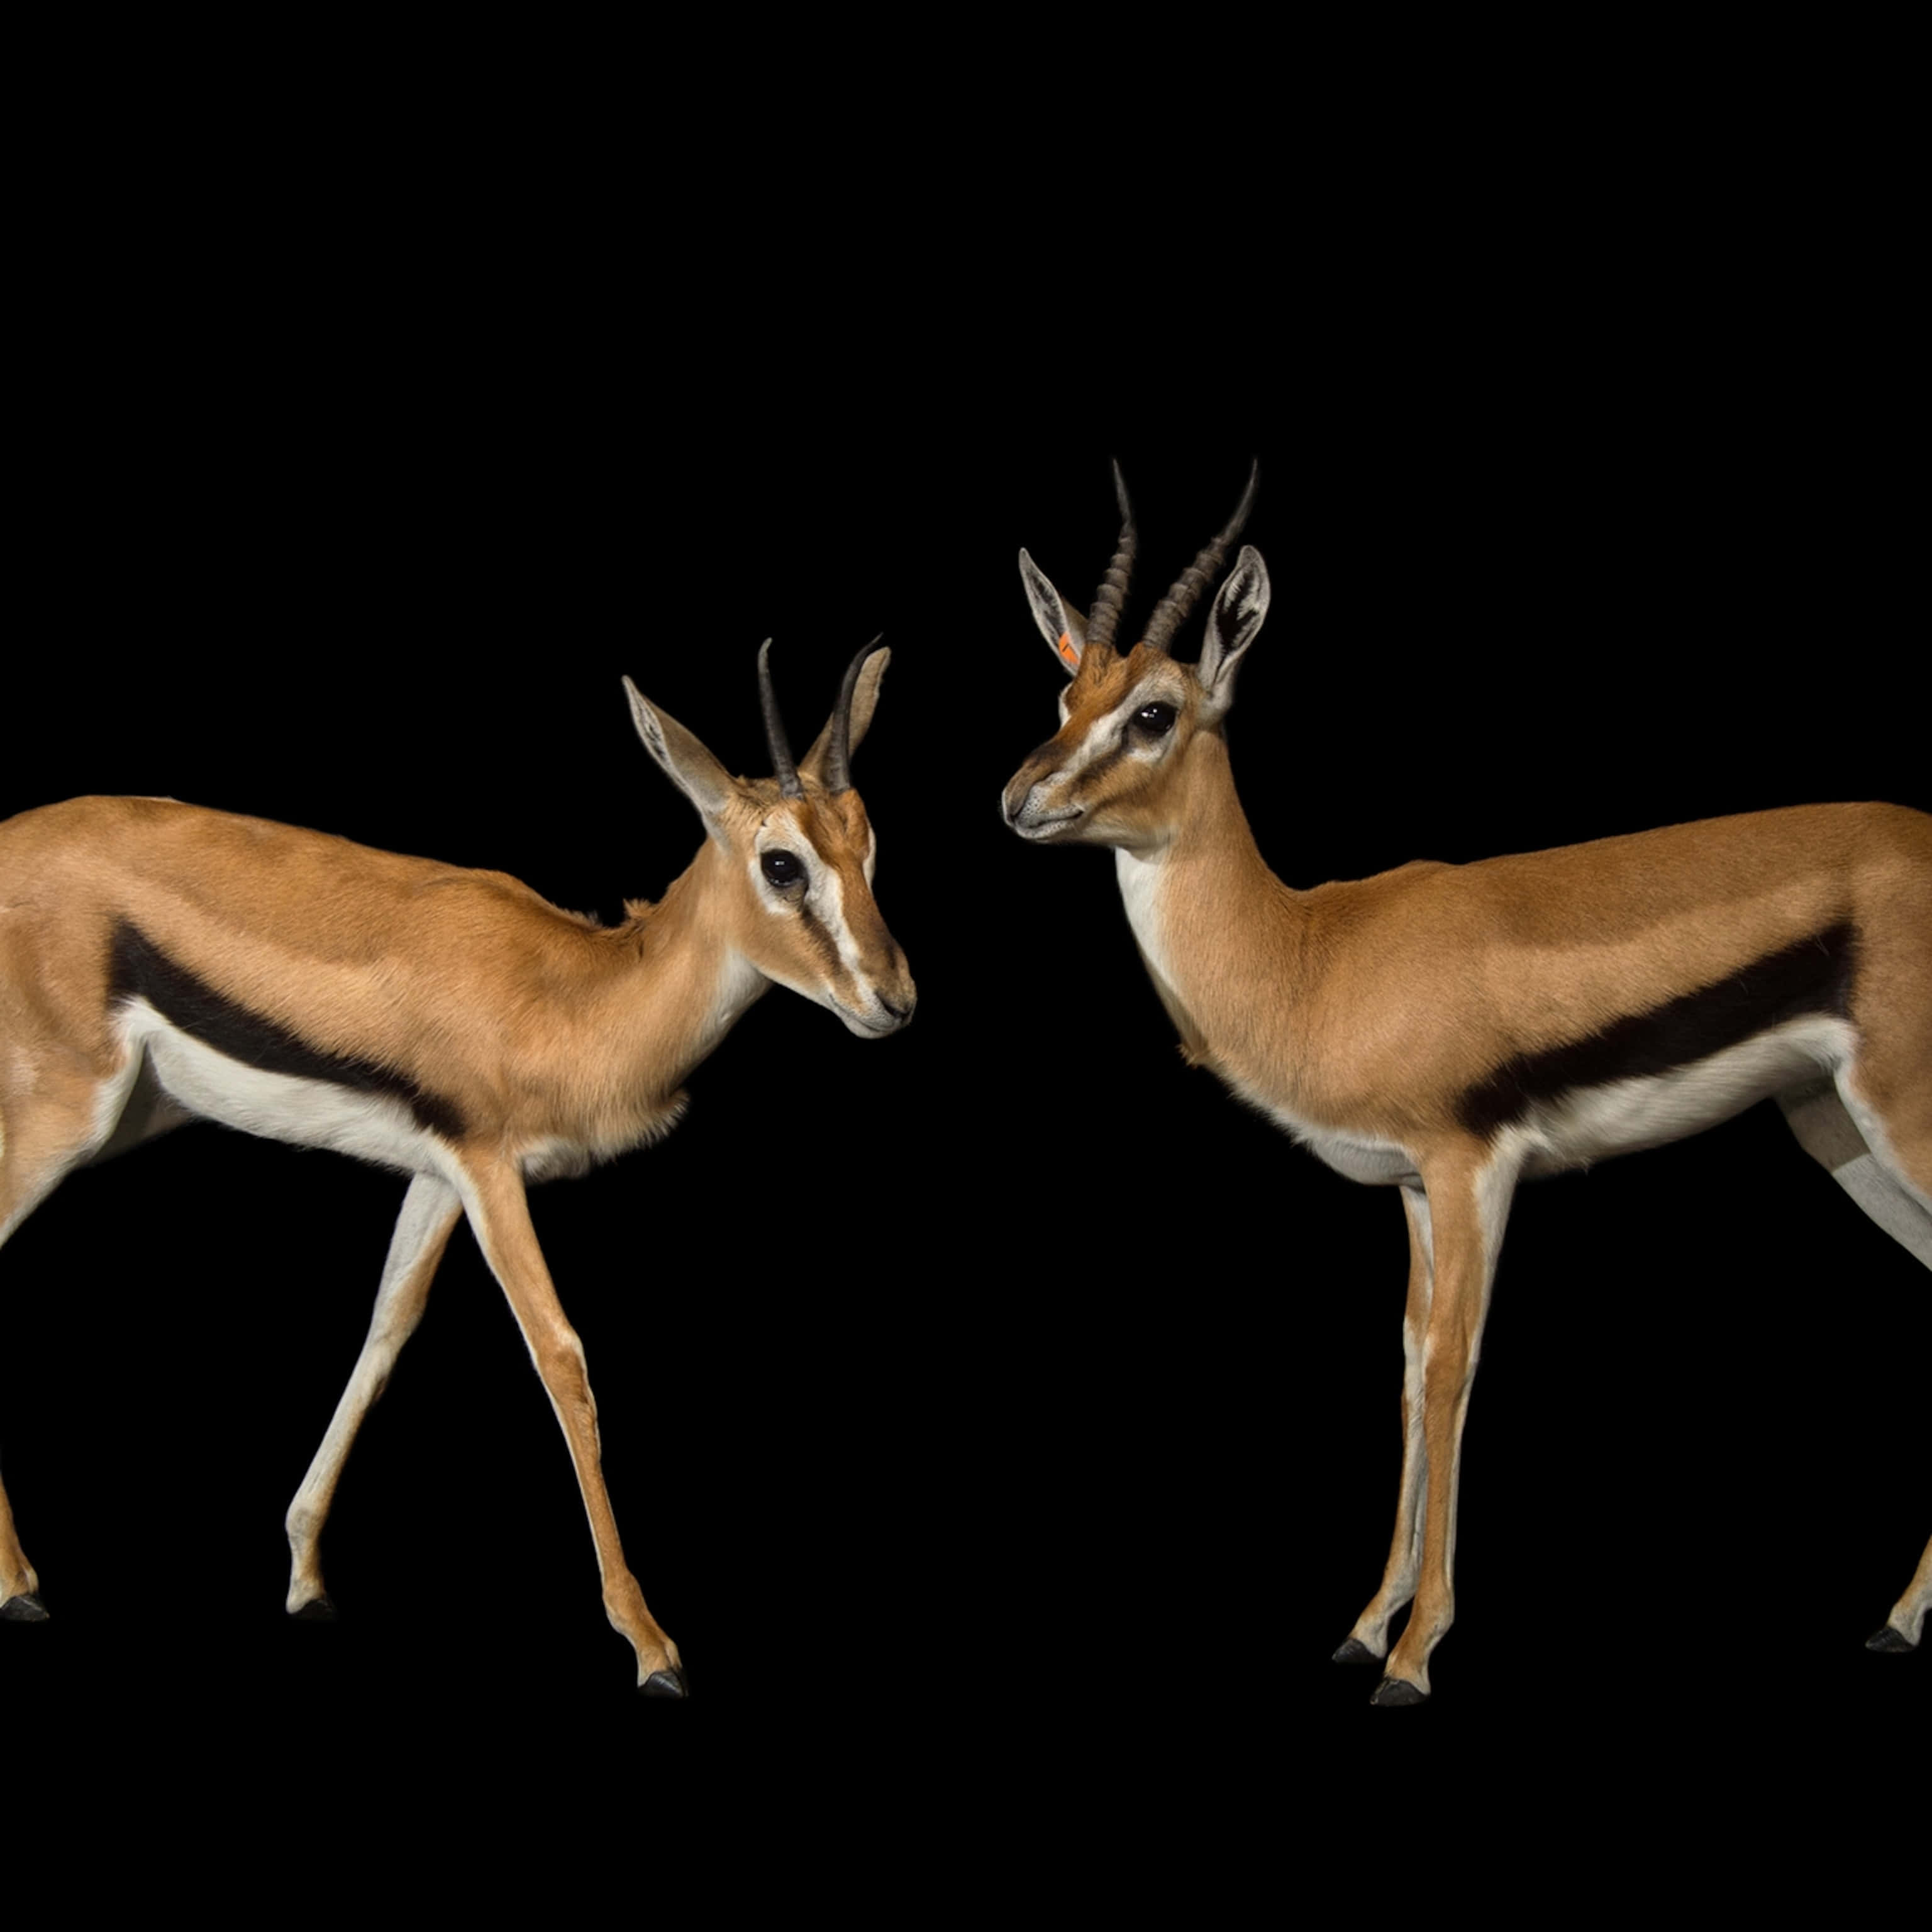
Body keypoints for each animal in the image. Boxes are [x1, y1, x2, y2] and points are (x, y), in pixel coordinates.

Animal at [0, 645, 915, 1696]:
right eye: (781, 863)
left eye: (867, 845)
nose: (895, 1000)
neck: (574, 990)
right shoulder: (491, 1170)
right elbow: (560, 1355)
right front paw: (650, 1644)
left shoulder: (438, 1175)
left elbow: (388, 1328)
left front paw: (306, 1575)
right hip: (61, 1115)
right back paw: (19, 1585)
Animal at [1002, 465, 1932, 1704]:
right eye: (1066, 690)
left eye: (1153, 712)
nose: (1018, 799)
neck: (1315, 954)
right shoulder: (1408, 1189)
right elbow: (1403, 1369)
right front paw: (1363, 1623)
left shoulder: (1471, 1164)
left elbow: (1452, 1369)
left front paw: (1411, 1655)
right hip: (1837, 1130)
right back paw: (1901, 1617)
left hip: (1906, 1116)